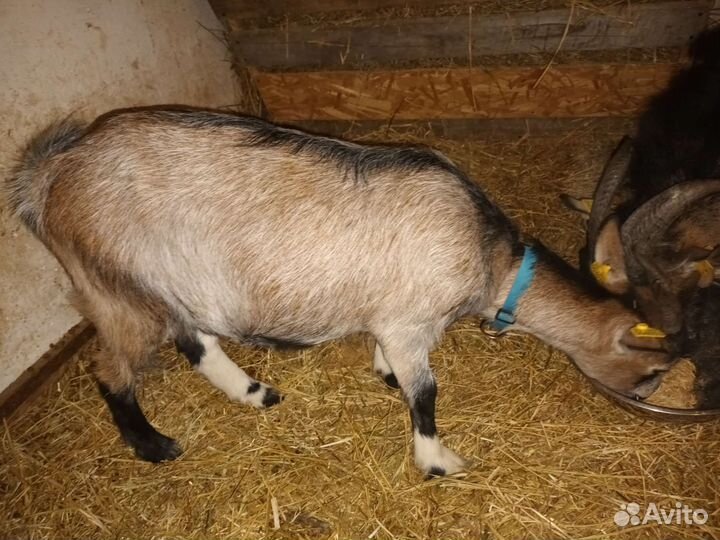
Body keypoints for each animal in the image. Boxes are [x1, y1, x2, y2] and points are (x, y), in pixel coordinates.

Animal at [7, 107, 672, 475]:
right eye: (652, 372)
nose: (644, 397)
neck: (490, 259)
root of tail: (48, 175)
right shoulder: (409, 320)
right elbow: (427, 393)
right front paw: (437, 462)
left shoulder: (394, 320)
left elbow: (395, 366)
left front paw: (383, 374)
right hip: (115, 285)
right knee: (112, 367)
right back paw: (154, 446)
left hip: (170, 283)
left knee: (195, 341)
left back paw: (254, 393)